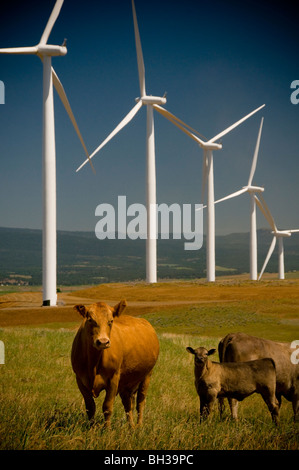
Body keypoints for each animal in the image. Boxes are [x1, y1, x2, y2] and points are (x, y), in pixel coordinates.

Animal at [71, 300, 159, 428]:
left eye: (111, 321)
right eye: (90, 319)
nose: (103, 342)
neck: (93, 364)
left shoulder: (113, 379)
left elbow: (107, 407)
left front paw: (107, 430)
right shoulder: (80, 380)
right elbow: (90, 407)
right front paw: (91, 428)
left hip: (147, 375)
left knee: (140, 402)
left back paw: (139, 426)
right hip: (126, 381)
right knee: (128, 404)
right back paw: (131, 427)